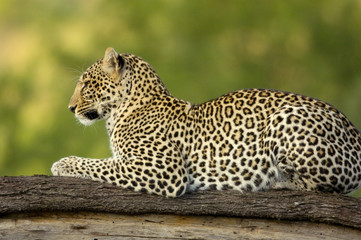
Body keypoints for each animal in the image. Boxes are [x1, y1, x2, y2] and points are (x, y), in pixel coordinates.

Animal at [52, 47, 360, 197]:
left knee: (328, 186)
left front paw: (62, 163)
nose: (70, 108)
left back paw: (274, 182)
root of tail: (355, 131)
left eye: (86, 84)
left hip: (285, 117)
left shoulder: (162, 169)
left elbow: (97, 164)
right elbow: (103, 163)